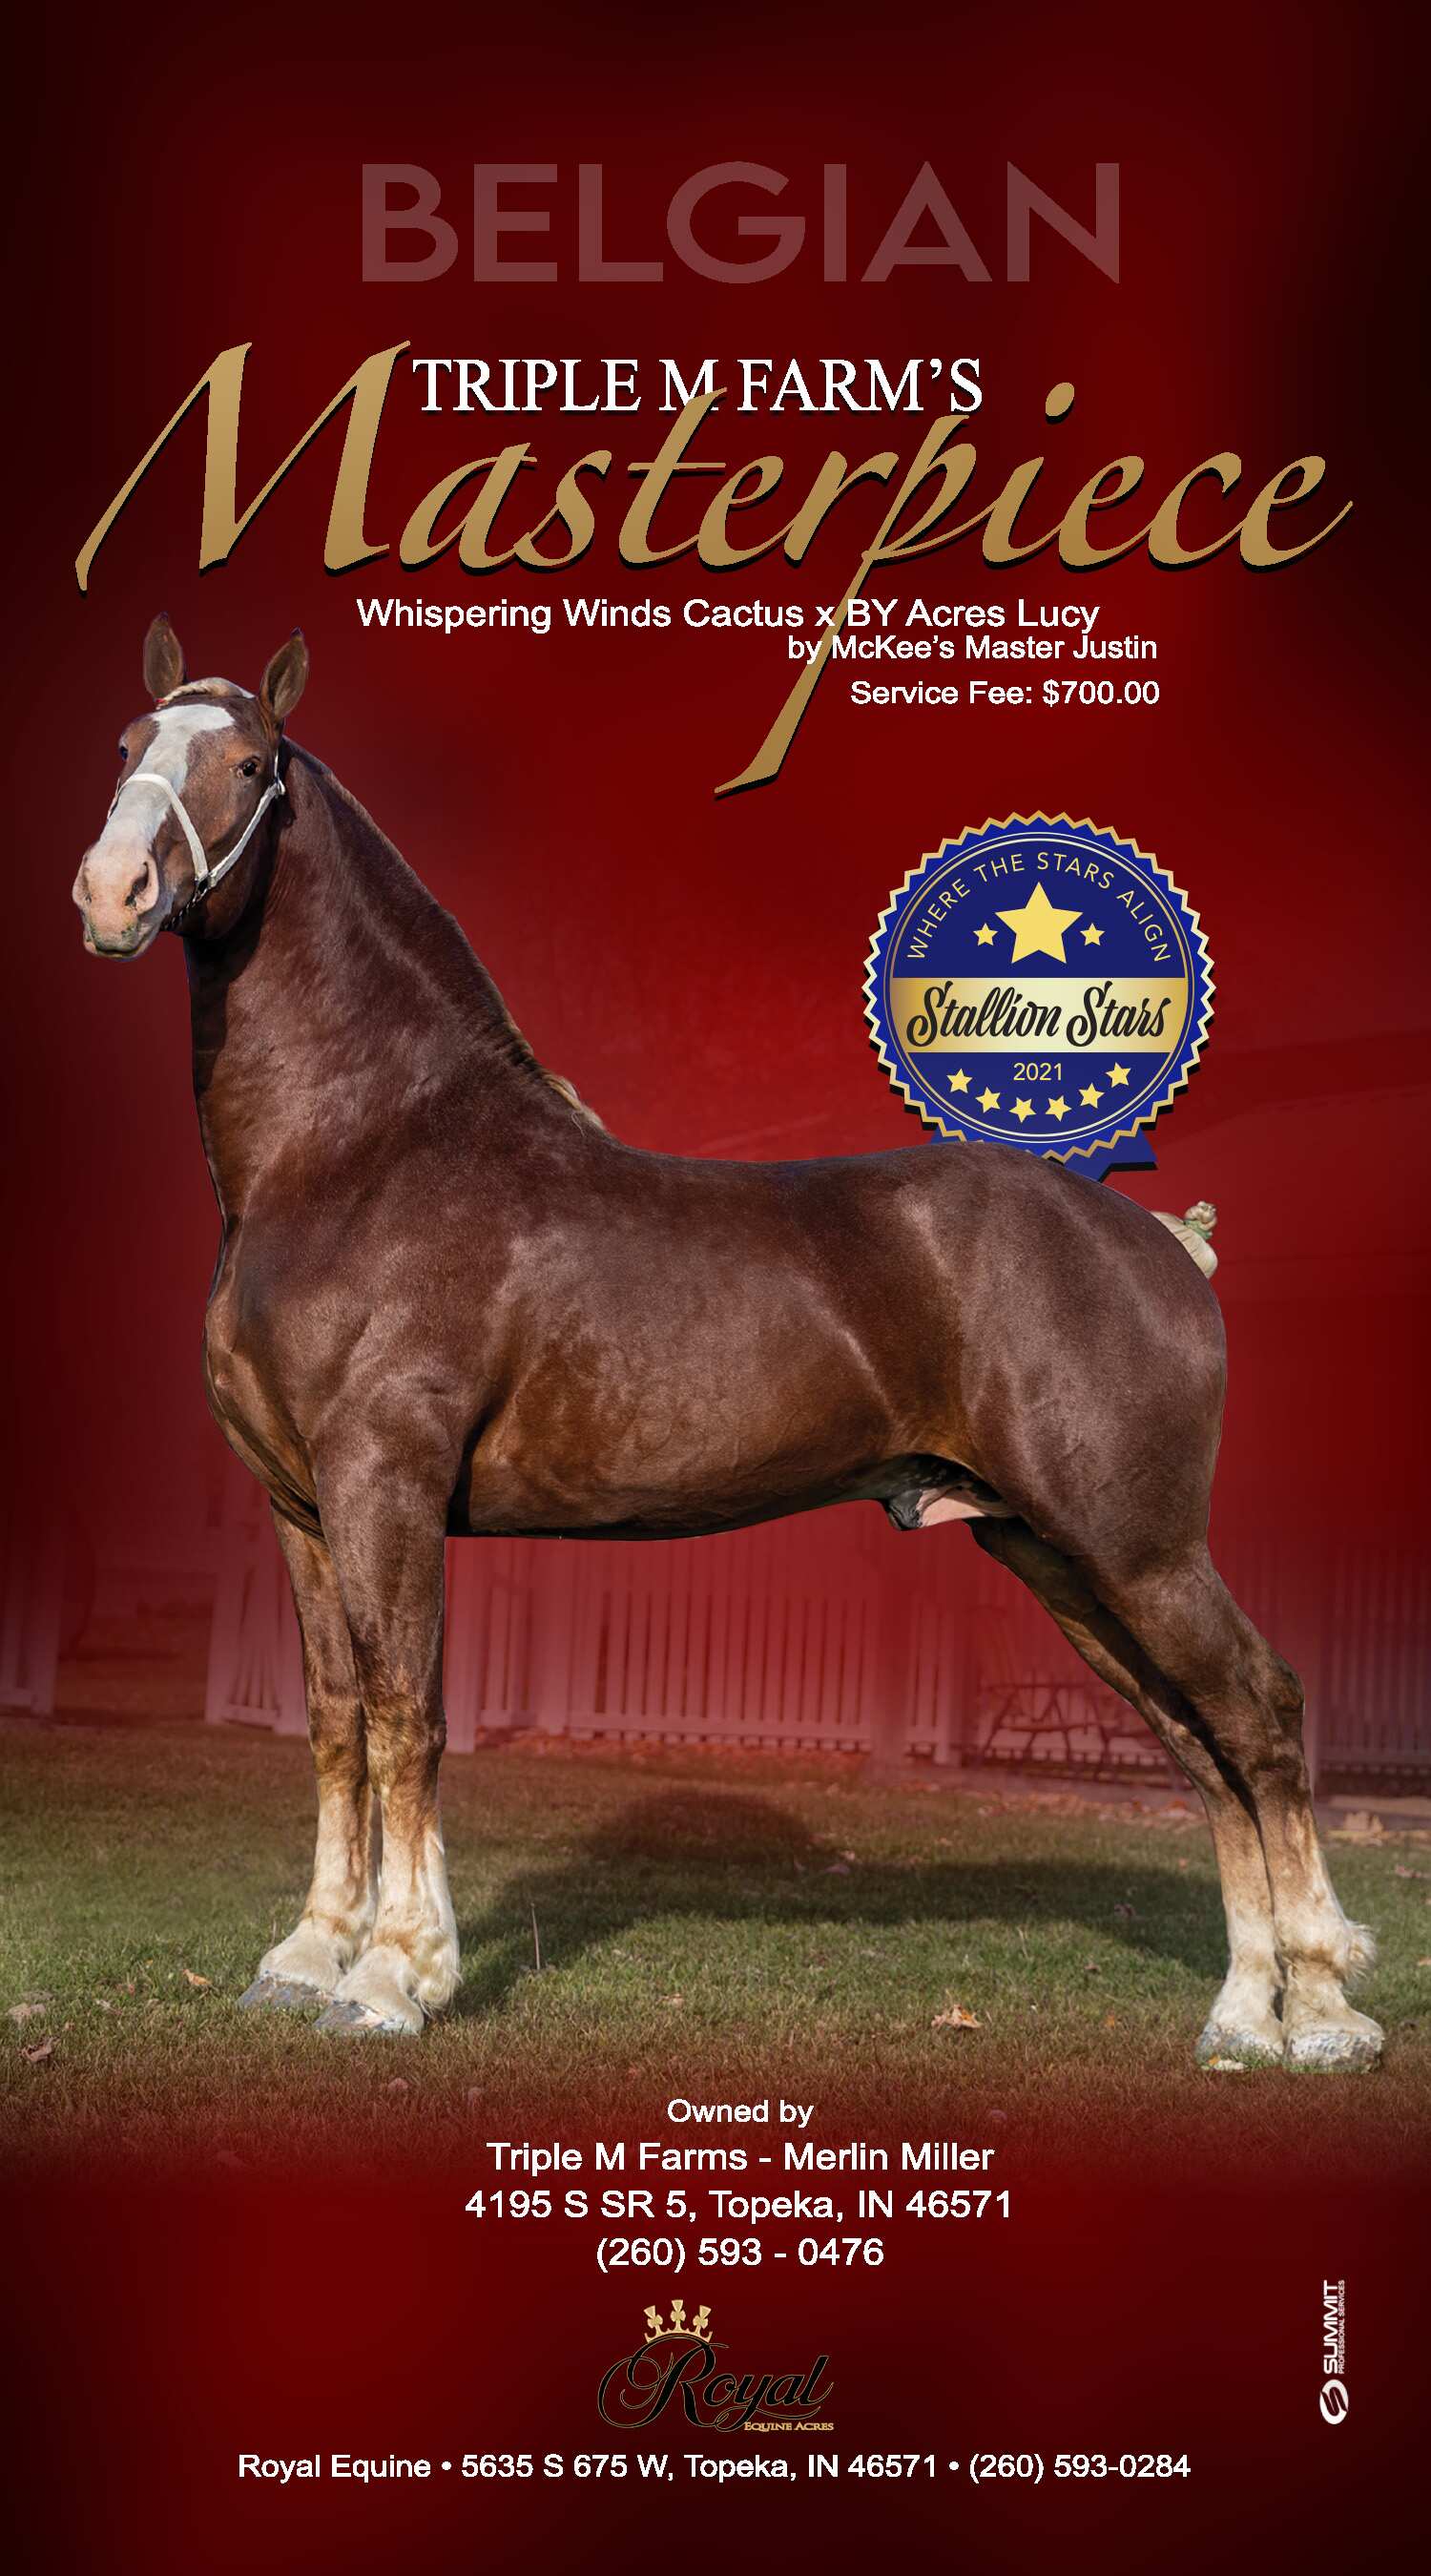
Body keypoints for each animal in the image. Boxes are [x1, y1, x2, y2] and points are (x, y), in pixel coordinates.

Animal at [71, 613, 1382, 2069]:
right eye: (128, 745)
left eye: (248, 763)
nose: (114, 892)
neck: (362, 1154)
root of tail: (1162, 1240)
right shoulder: (301, 1508)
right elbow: (337, 1723)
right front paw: (306, 1960)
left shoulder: (386, 1487)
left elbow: (409, 1714)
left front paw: (394, 1978)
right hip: (1055, 1555)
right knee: (1199, 1746)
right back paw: (1244, 2018)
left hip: (1137, 1546)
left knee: (1261, 1713)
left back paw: (1326, 2013)